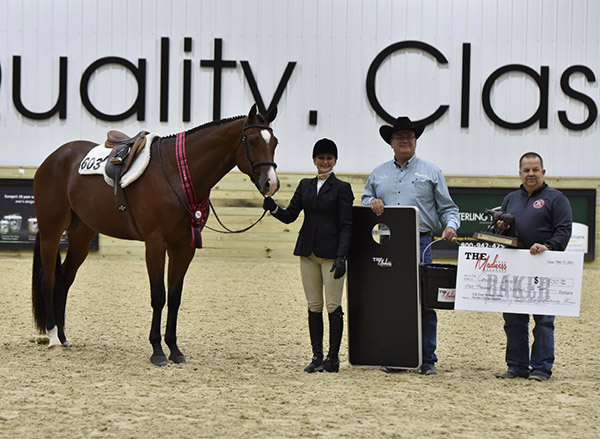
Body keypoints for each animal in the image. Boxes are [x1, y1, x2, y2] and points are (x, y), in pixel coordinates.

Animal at [31, 105, 278, 366]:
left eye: (275, 142)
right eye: (252, 141)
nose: (271, 183)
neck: (177, 174)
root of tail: (55, 157)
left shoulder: (184, 247)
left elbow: (175, 297)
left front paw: (175, 350)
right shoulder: (155, 244)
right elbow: (159, 296)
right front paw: (157, 351)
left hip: (81, 236)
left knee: (64, 279)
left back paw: (63, 336)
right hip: (51, 232)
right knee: (49, 279)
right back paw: (53, 338)